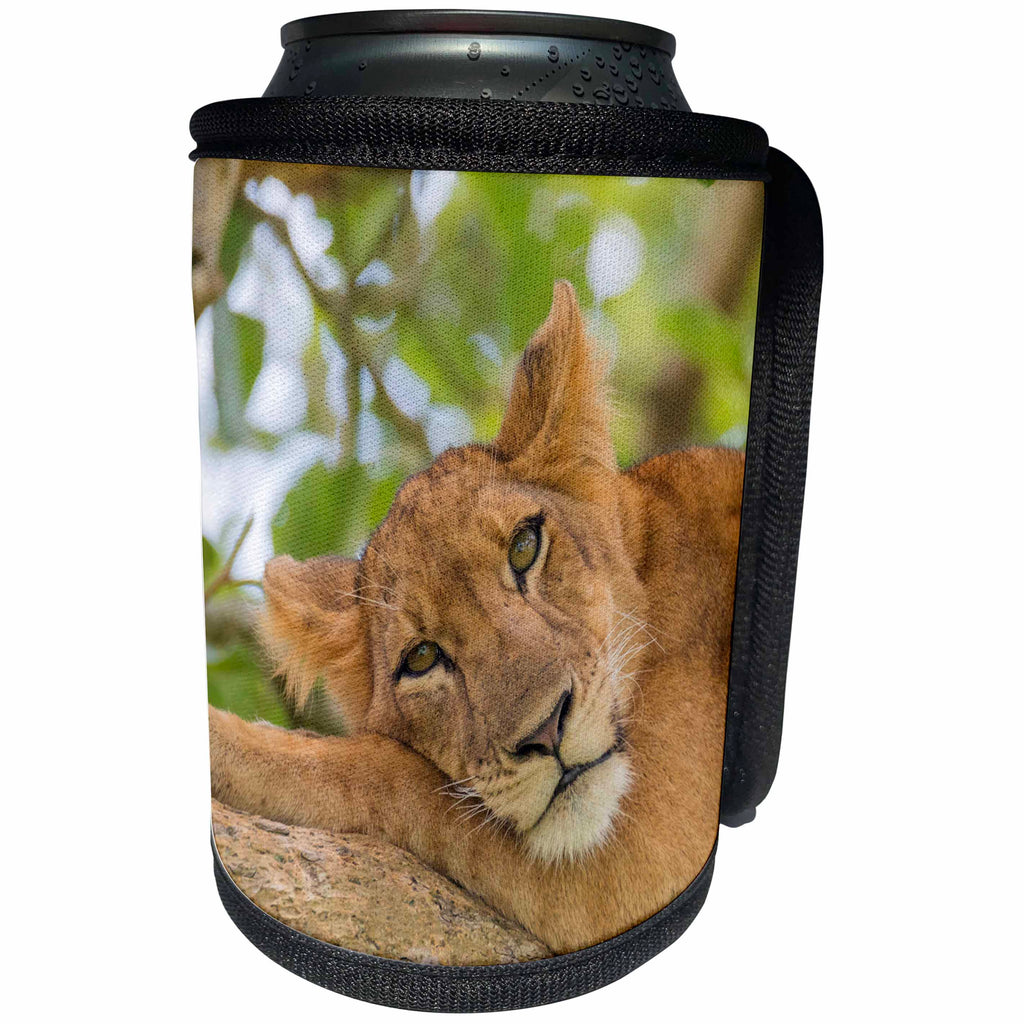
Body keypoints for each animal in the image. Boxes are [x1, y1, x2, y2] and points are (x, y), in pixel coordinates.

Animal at [208, 281, 745, 956]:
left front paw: (227, 741)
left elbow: (387, 774)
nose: (546, 731)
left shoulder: (657, 836)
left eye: (524, 548)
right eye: (421, 658)